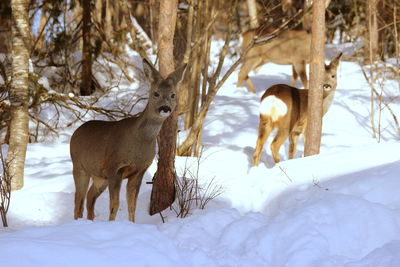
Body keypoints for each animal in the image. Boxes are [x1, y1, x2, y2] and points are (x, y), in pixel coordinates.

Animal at [70, 59, 186, 223]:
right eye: (156, 93)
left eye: (173, 95)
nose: (165, 108)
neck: (138, 142)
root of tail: (75, 132)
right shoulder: (114, 166)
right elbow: (115, 204)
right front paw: (112, 224)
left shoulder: (139, 170)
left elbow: (132, 204)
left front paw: (131, 224)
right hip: (79, 166)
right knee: (78, 200)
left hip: (100, 175)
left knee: (90, 196)